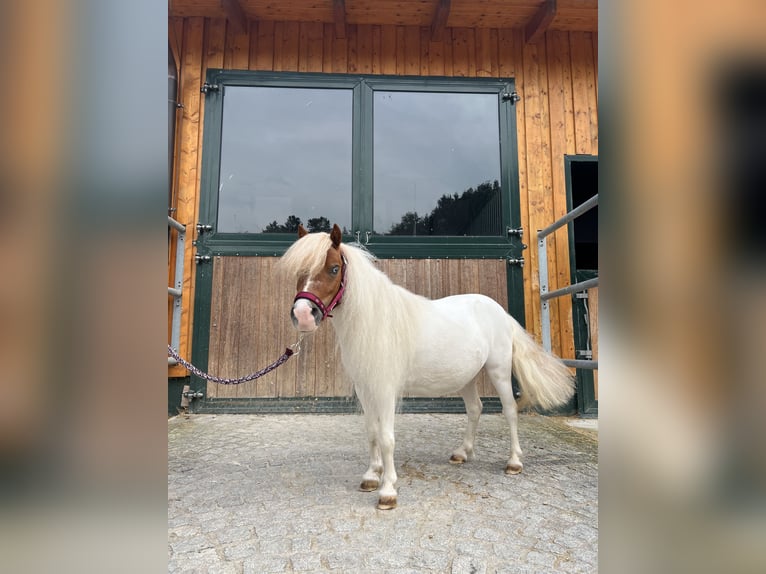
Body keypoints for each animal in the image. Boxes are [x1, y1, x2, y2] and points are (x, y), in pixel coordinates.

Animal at [282, 223, 576, 510]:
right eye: (298, 270)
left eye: (334, 268)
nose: (303, 315)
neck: (375, 322)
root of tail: (499, 311)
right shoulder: (365, 389)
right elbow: (372, 432)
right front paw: (371, 476)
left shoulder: (385, 390)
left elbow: (387, 437)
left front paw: (388, 491)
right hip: (466, 378)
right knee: (475, 408)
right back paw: (462, 453)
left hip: (499, 371)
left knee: (510, 410)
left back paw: (514, 462)